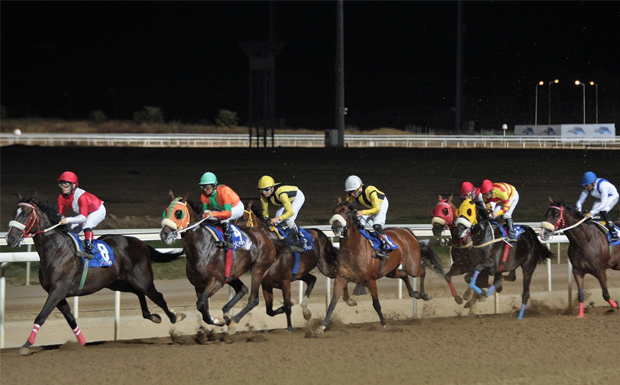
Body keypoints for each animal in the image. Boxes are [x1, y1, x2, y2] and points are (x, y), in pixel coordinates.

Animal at [5, 196, 184, 356]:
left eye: (26, 213)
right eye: (14, 212)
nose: (10, 238)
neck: (56, 249)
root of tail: (141, 243)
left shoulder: (58, 290)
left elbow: (41, 317)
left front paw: (26, 345)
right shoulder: (58, 293)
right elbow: (70, 318)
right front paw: (83, 342)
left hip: (142, 278)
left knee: (157, 296)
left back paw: (175, 316)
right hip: (118, 282)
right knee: (140, 293)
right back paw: (152, 316)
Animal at [160, 194, 276, 334]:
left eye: (178, 213)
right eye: (166, 211)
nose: (164, 234)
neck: (202, 246)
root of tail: (265, 236)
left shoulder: (217, 281)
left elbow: (200, 304)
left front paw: (220, 320)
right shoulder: (199, 285)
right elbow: (203, 309)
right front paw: (219, 320)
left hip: (258, 269)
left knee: (253, 299)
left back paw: (233, 322)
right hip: (232, 275)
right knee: (243, 289)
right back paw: (227, 313)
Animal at [234, 201, 344, 330]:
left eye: (244, 218)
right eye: (234, 219)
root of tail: (319, 232)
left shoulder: (285, 282)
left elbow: (287, 306)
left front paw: (290, 328)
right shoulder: (266, 284)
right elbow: (269, 311)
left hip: (325, 267)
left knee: (337, 275)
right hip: (301, 273)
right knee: (312, 279)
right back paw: (306, 312)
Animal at [320, 198, 450, 330]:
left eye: (346, 212)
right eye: (334, 211)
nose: (336, 227)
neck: (353, 249)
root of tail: (406, 231)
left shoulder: (371, 280)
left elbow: (376, 303)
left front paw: (383, 322)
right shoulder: (341, 277)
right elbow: (333, 302)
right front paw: (323, 326)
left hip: (412, 266)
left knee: (422, 270)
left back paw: (424, 294)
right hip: (390, 271)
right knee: (404, 275)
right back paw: (414, 293)